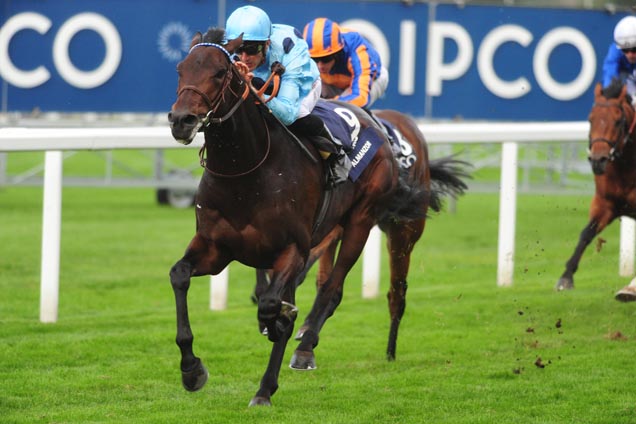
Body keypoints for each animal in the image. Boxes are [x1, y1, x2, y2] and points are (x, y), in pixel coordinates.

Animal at [168, 28, 468, 406]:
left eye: (221, 73)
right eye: (181, 69)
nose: (182, 120)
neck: (245, 173)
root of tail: (377, 126)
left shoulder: (292, 250)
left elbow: (274, 304)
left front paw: (270, 366)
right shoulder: (215, 248)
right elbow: (179, 275)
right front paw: (191, 369)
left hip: (369, 223)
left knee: (343, 288)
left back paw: (315, 347)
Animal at [556, 80, 636, 302]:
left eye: (618, 121)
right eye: (590, 119)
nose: (598, 160)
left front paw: (631, 288)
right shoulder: (605, 203)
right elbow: (586, 233)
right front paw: (566, 278)